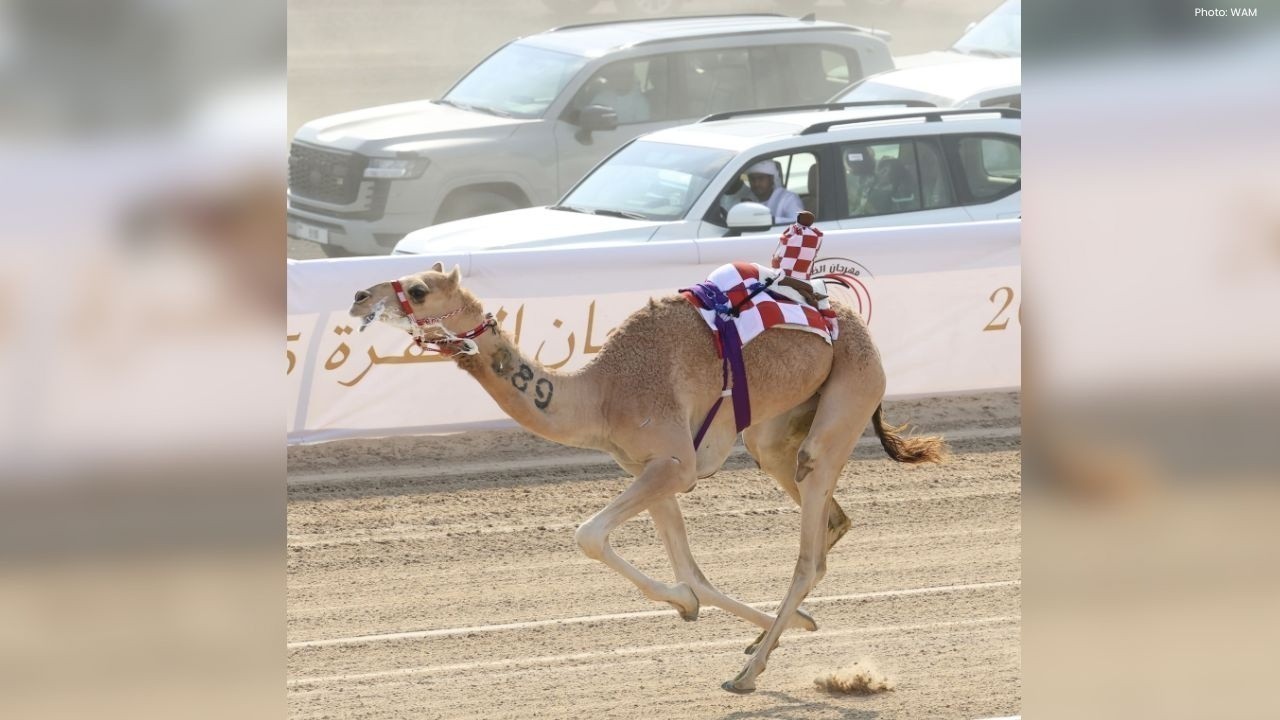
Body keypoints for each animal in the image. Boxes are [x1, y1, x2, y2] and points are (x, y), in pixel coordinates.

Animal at [349, 262, 945, 693]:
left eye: (418, 289)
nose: (357, 296)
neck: (601, 394)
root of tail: (848, 317)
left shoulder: (674, 464)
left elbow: (589, 535)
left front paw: (700, 610)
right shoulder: (648, 468)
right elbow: (692, 571)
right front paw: (693, 605)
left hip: (852, 388)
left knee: (811, 545)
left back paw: (747, 674)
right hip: (774, 434)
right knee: (829, 515)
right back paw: (764, 642)